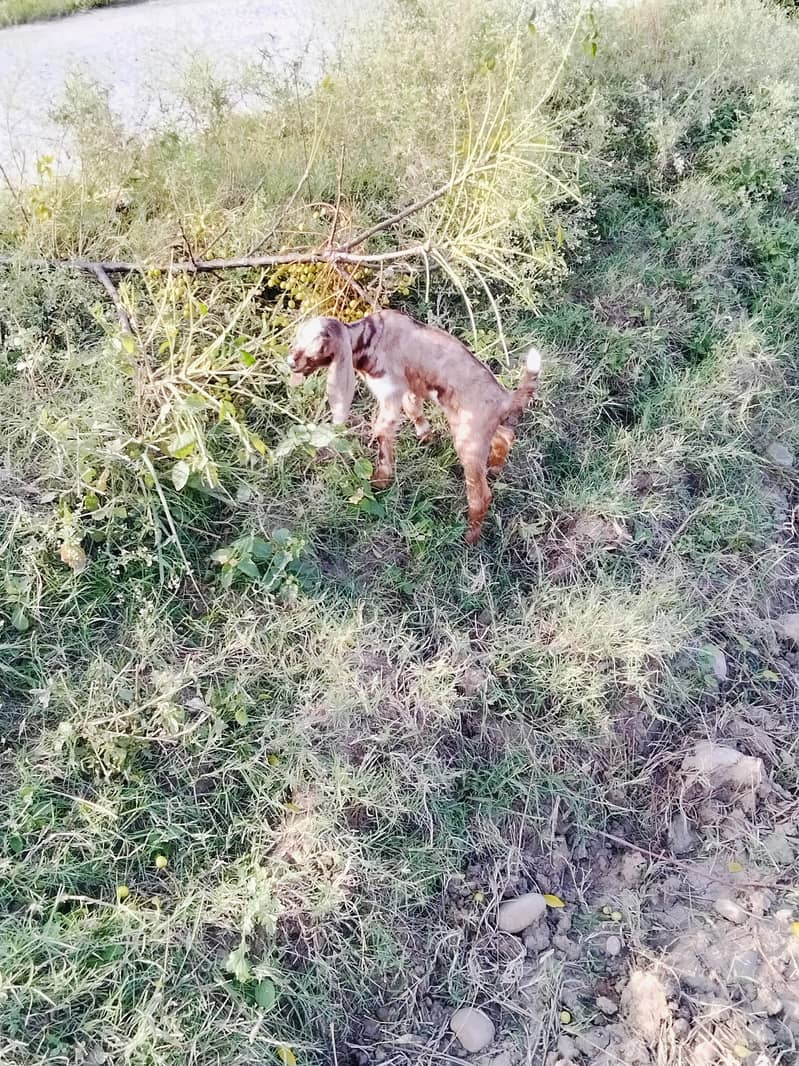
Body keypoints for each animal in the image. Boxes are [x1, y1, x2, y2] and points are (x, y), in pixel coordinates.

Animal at [287, 310, 542, 544]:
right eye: (297, 336)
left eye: (318, 341)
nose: (290, 361)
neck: (370, 337)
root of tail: (504, 399)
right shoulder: (409, 388)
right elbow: (413, 409)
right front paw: (426, 436)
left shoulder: (389, 391)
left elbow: (382, 431)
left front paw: (380, 480)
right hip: (477, 428)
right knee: (506, 437)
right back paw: (495, 468)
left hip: (469, 441)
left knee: (481, 496)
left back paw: (470, 537)